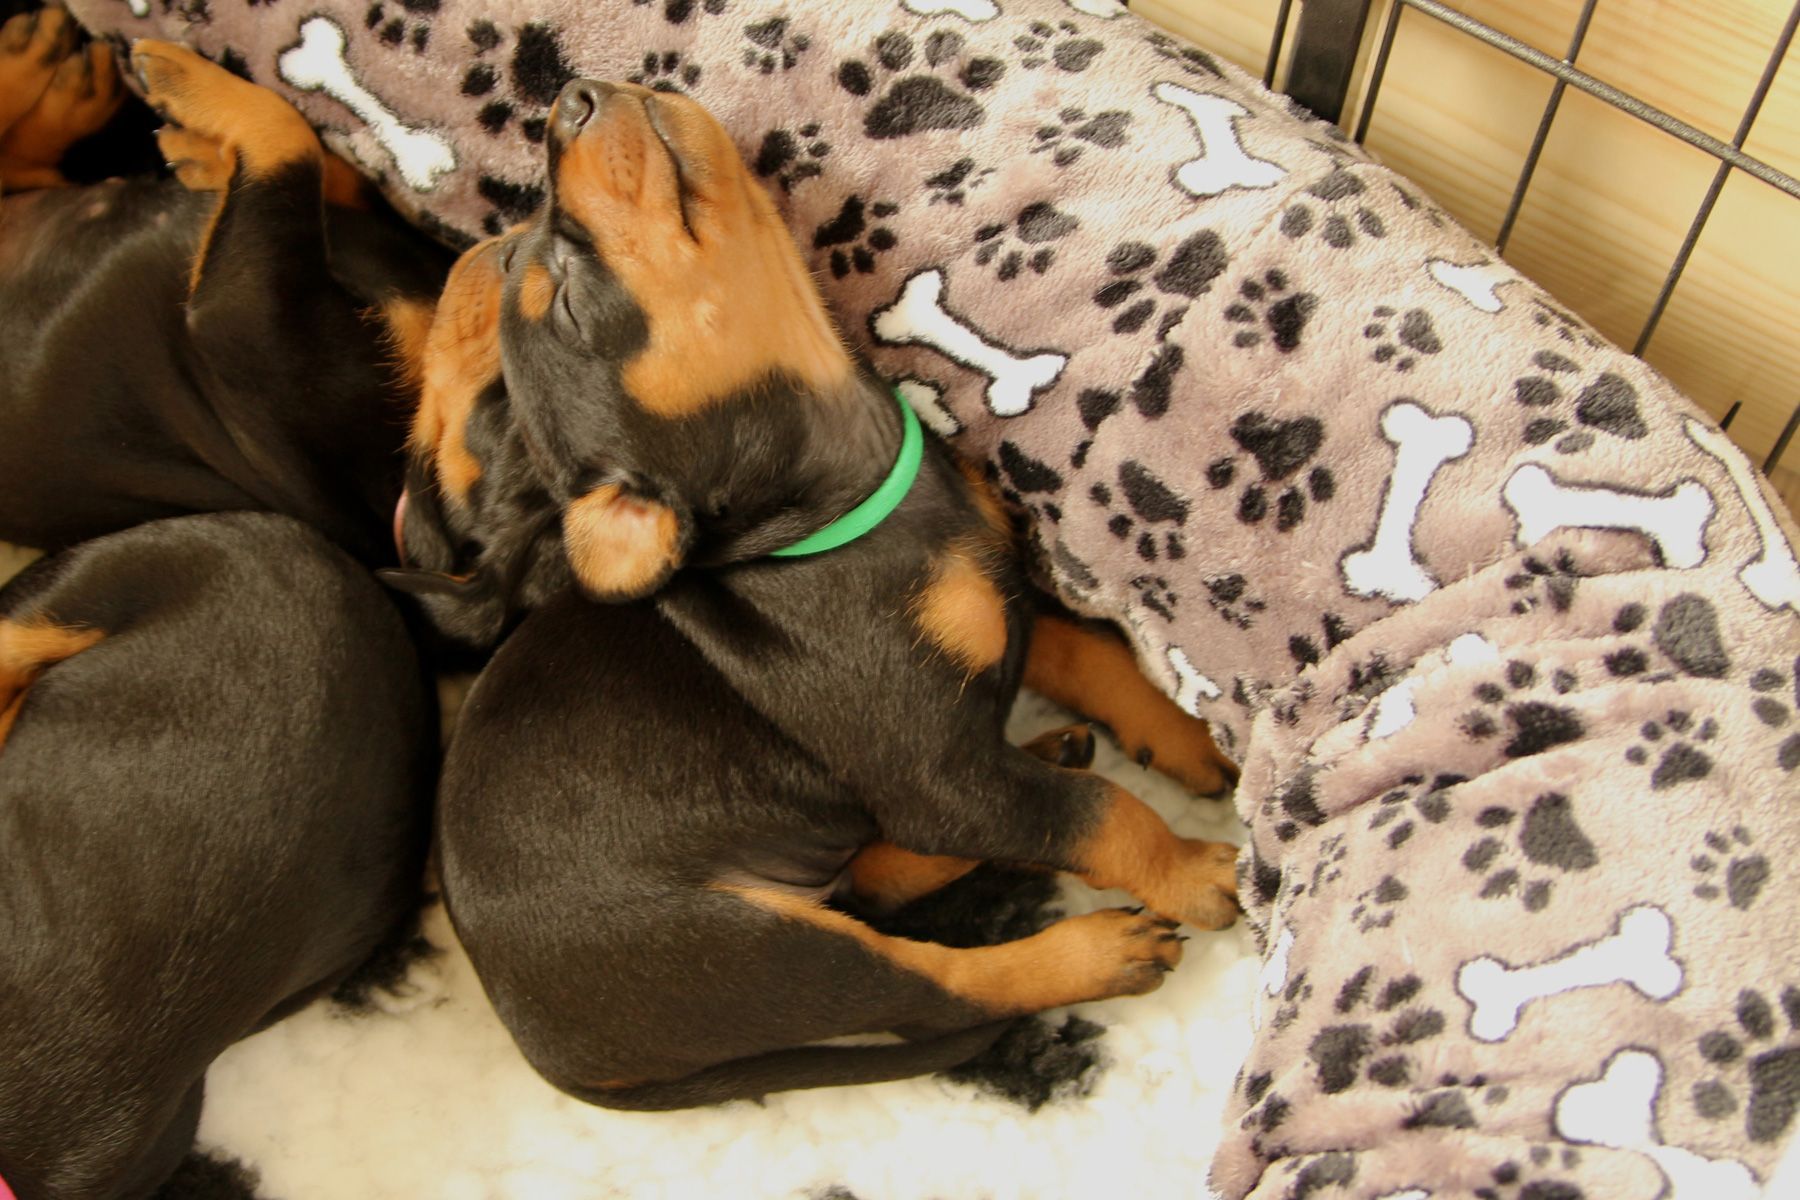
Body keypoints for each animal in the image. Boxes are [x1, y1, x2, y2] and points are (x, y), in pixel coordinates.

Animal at [415, 79, 1242, 1110]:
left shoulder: (998, 595)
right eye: (565, 300)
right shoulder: (935, 774)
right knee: (934, 982)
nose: (571, 99)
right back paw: (1095, 946)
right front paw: (1193, 868)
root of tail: (552, 1055)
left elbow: (1087, 651)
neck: (853, 499)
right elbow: (1101, 814)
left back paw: (1050, 749)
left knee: (887, 873)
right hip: (758, 947)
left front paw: (1189, 740)